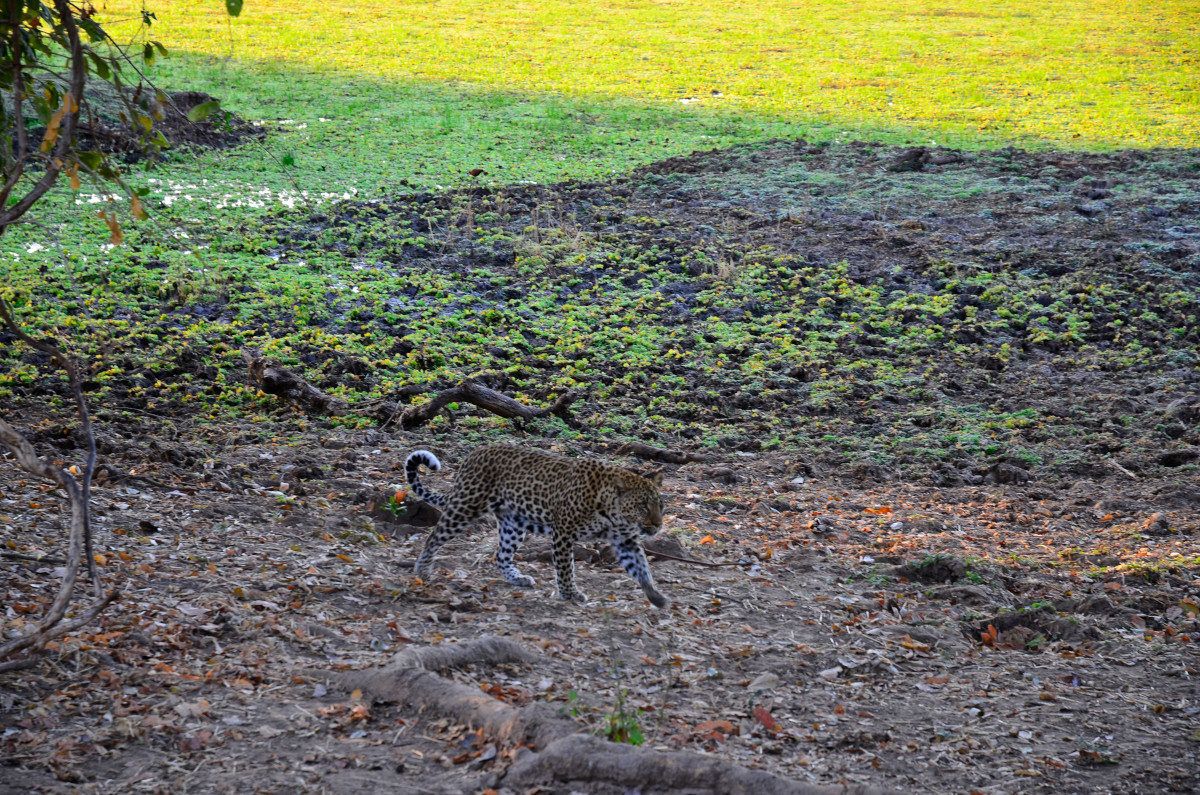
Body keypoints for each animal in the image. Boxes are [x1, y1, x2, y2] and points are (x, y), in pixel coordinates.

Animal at [405, 445, 669, 608]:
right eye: (643, 506)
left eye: (660, 504)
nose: (657, 524)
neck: (615, 513)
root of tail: (473, 454)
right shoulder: (564, 531)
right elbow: (565, 568)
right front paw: (570, 593)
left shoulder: (626, 541)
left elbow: (641, 568)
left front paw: (656, 596)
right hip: (466, 507)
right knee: (434, 536)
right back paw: (422, 569)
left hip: (513, 524)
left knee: (501, 556)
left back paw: (518, 579)